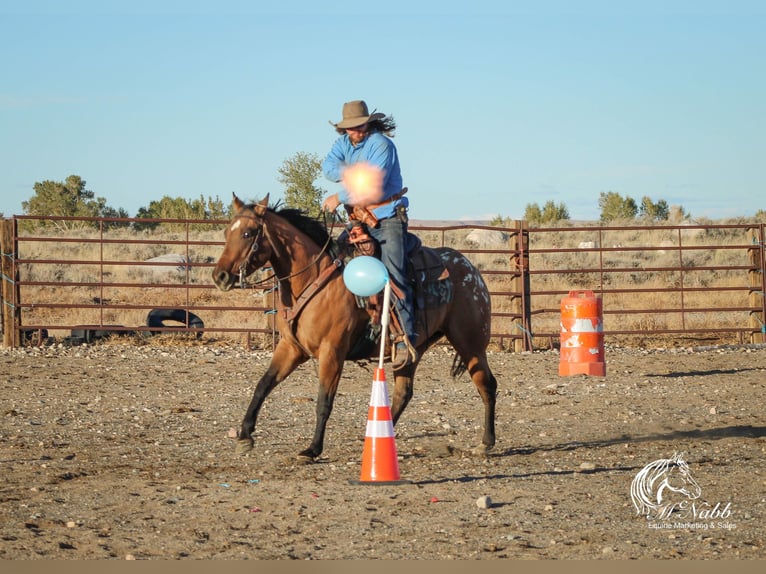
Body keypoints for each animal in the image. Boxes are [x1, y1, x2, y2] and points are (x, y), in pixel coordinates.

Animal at [212, 196, 498, 462]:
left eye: (248, 233)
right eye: (227, 233)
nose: (220, 276)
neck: (314, 280)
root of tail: (470, 268)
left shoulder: (332, 352)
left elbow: (324, 401)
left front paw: (312, 449)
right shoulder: (291, 347)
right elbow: (263, 385)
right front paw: (244, 435)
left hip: (470, 343)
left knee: (487, 384)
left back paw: (486, 443)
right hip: (411, 351)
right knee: (403, 393)